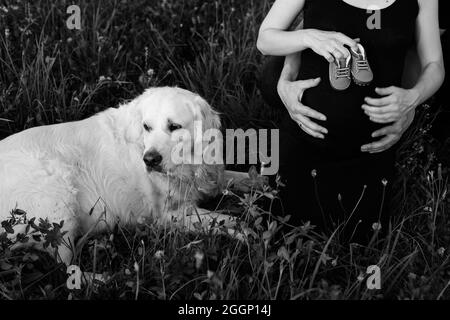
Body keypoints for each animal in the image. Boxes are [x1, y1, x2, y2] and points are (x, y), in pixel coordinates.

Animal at [0, 86, 237, 264]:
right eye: (146, 126)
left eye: (174, 126)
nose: (149, 160)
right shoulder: (167, 215)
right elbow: (225, 220)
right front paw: (240, 230)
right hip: (59, 199)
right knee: (64, 267)